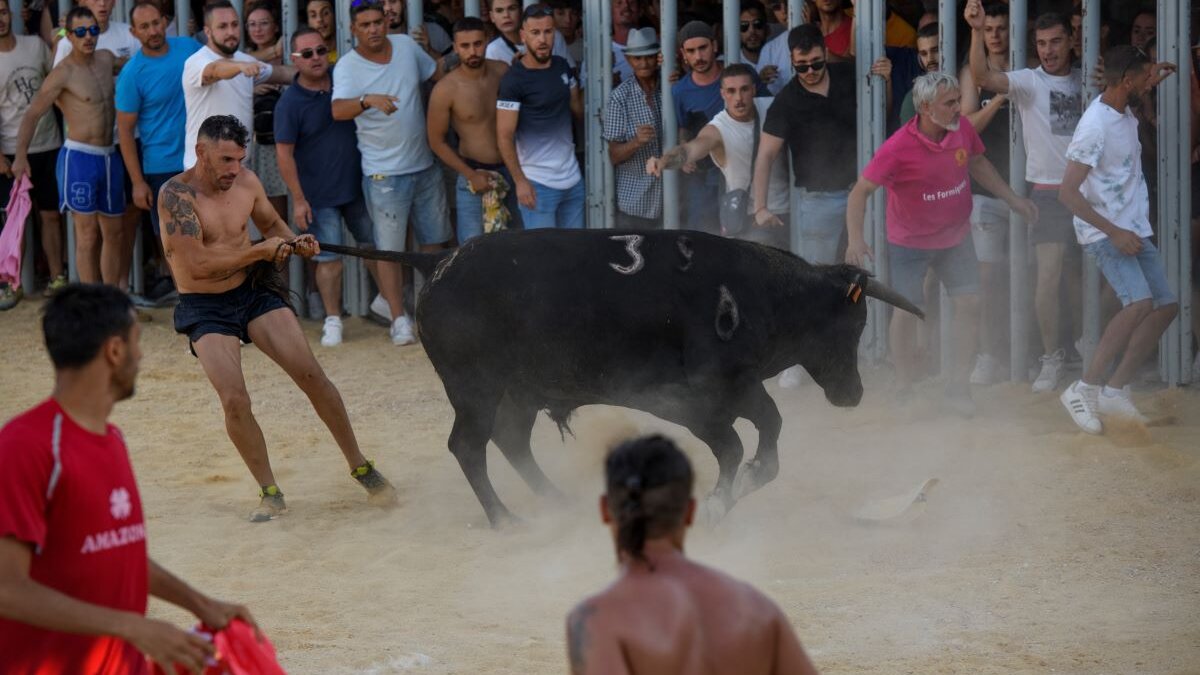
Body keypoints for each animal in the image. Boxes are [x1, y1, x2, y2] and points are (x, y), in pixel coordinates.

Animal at [319, 228, 916, 523]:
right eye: (855, 322)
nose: (853, 393)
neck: (752, 295)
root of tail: (435, 260)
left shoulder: (738, 390)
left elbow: (765, 435)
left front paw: (738, 488)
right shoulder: (697, 399)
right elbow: (732, 446)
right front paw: (719, 501)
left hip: (519, 391)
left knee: (509, 440)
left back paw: (557, 501)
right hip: (476, 389)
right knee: (468, 445)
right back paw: (505, 518)